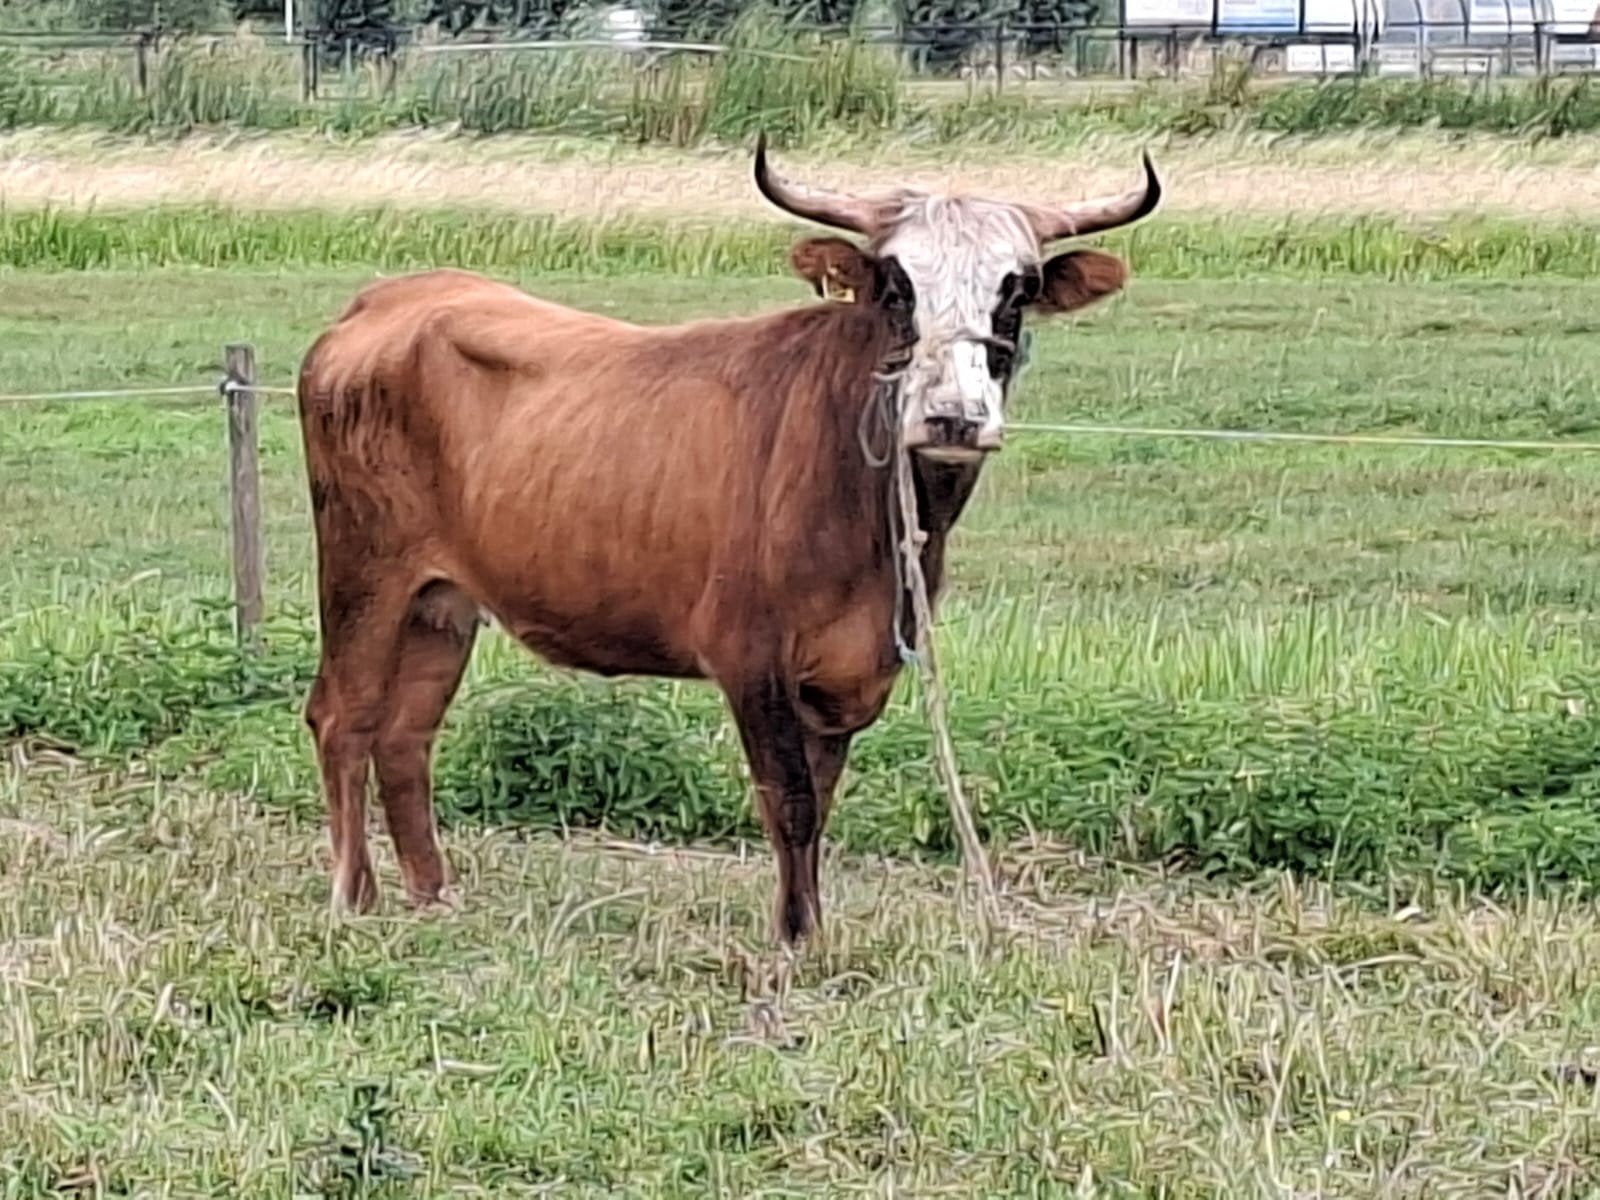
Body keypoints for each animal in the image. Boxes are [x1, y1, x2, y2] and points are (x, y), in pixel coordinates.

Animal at [294, 135, 1161, 945]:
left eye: (1016, 292)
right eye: (895, 287)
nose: (954, 416)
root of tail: (390, 300)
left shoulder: (852, 672)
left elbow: (821, 803)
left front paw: (809, 929)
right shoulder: (751, 659)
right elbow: (792, 803)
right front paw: (796, 941)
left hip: (441, 603)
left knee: (406, 734)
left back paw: (434, 897)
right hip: (363, 574)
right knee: (342, 716)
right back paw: (352, 896)